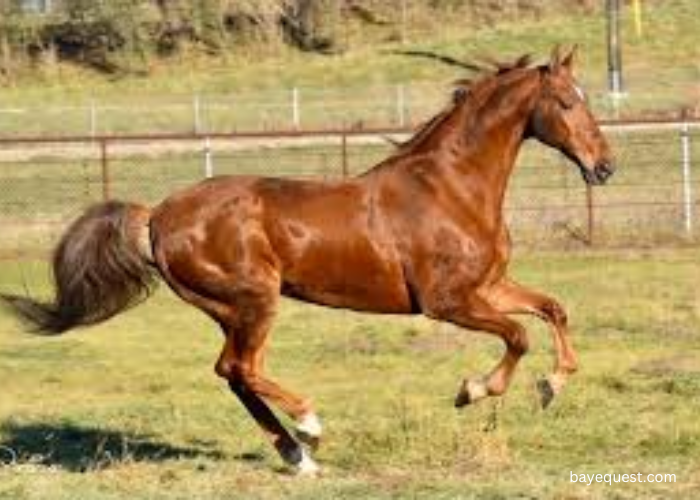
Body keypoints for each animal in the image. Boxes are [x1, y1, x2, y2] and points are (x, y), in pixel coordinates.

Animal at [1, 47, 612, 476]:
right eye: (566, 103)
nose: (604, 167)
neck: (450, 187)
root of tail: (156, 217)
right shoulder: (447, 302)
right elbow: (518, 335)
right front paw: (473, 391)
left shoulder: (490, 285)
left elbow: (552, 309)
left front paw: (552, 385)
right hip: (253, 300)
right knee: (239, 369)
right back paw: (310, 427)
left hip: (234, 309)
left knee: (235, 374)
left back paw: (301, 458)